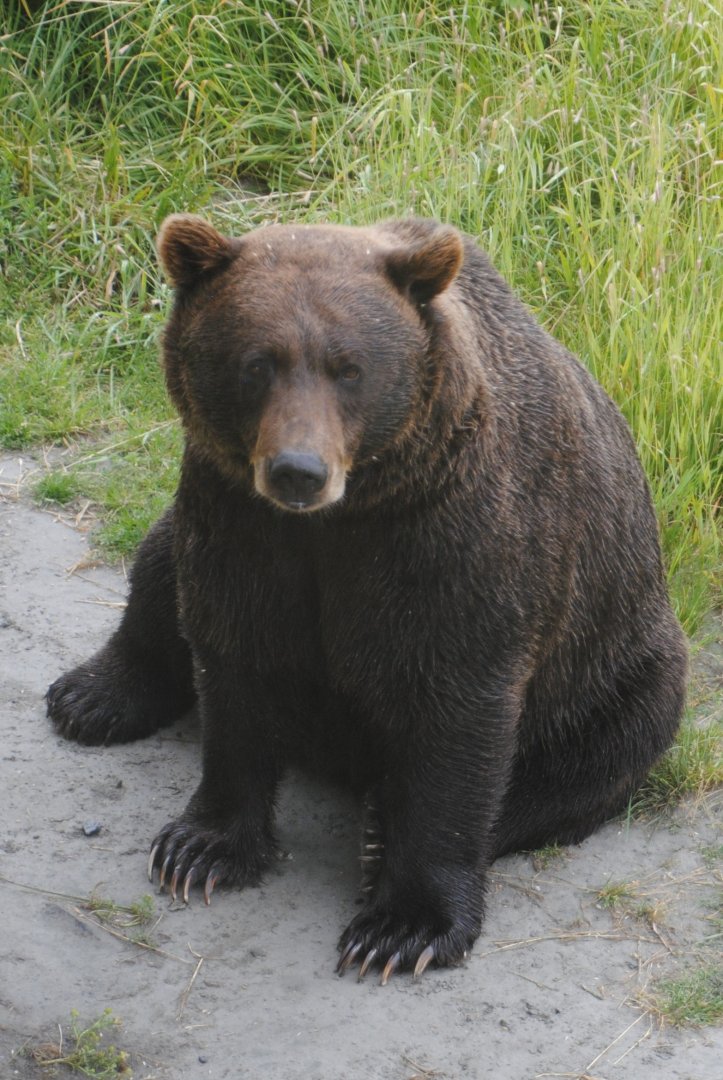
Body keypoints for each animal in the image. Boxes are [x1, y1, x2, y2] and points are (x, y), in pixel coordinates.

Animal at [47, 214, 687, 983]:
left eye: (349, 368)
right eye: (257, 363)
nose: (298, 470)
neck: (342, 517)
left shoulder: (452, 542)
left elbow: (458, 711)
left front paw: (403, 926)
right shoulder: (241, 525)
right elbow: (233, 662)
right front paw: (200, 849)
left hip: (618, 656)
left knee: (597, 754)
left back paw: (383, 830)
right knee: (156, 570)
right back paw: (93, 695)